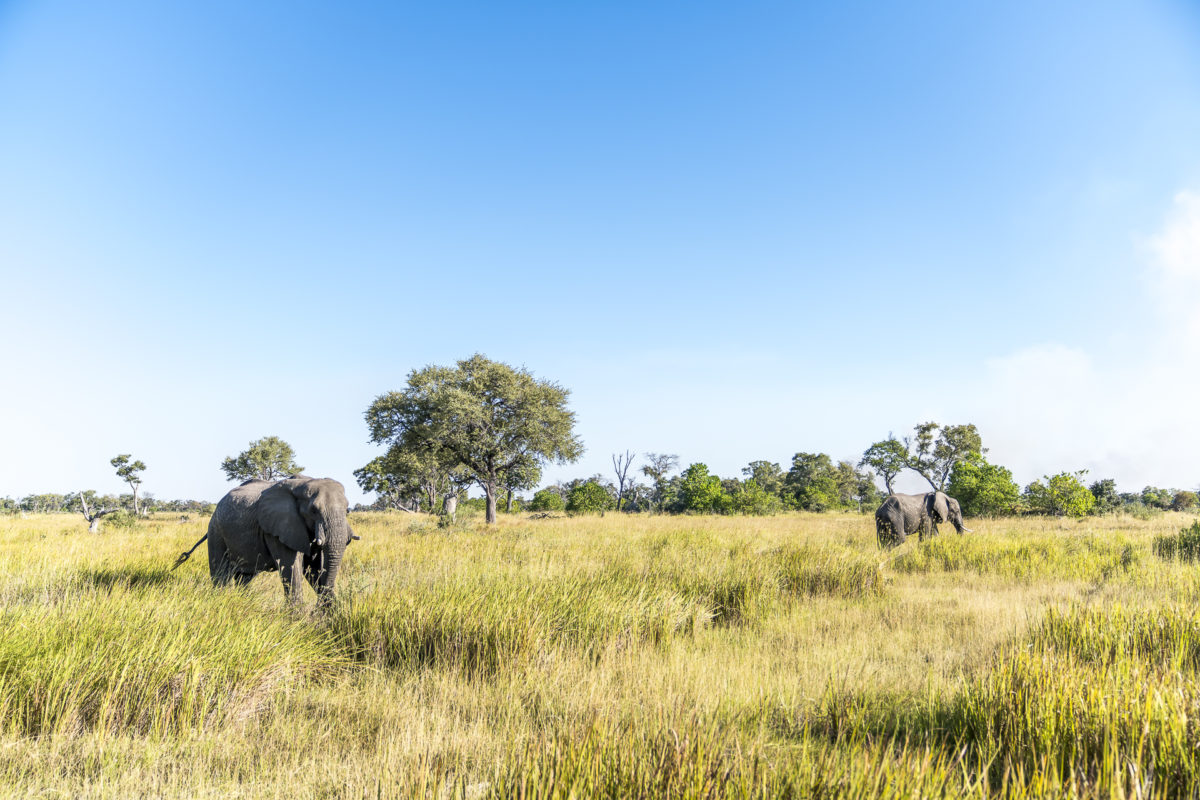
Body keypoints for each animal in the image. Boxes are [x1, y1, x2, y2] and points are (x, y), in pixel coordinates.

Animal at [172, 474, 355, 606]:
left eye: (347, 510)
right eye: (314, 510)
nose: (318, 608)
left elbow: (312, 568)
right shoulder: (278, 528)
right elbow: (292, 567)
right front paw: (298, 621)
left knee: (244, 577)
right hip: (216, 529)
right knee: (221, 573)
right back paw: (221, 600)